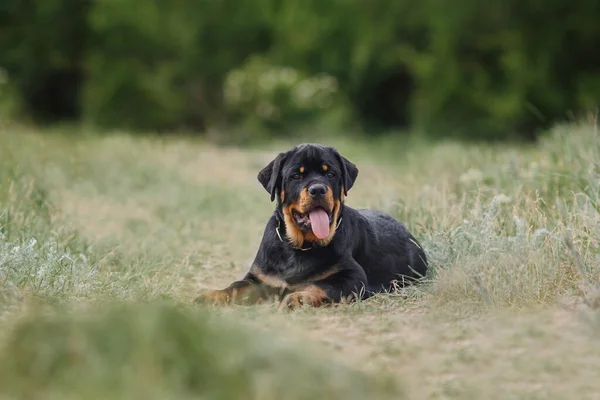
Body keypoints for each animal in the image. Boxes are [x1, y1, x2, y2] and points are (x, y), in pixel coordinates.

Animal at [196, 143, 426, 310]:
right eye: (296, 175)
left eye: (330, 174)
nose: (317, 189)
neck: (299, 247)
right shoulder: (259, 278)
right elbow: (235, 287)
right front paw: (210, 296)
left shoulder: (353, 277)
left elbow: (322, 285)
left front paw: (298, 298)